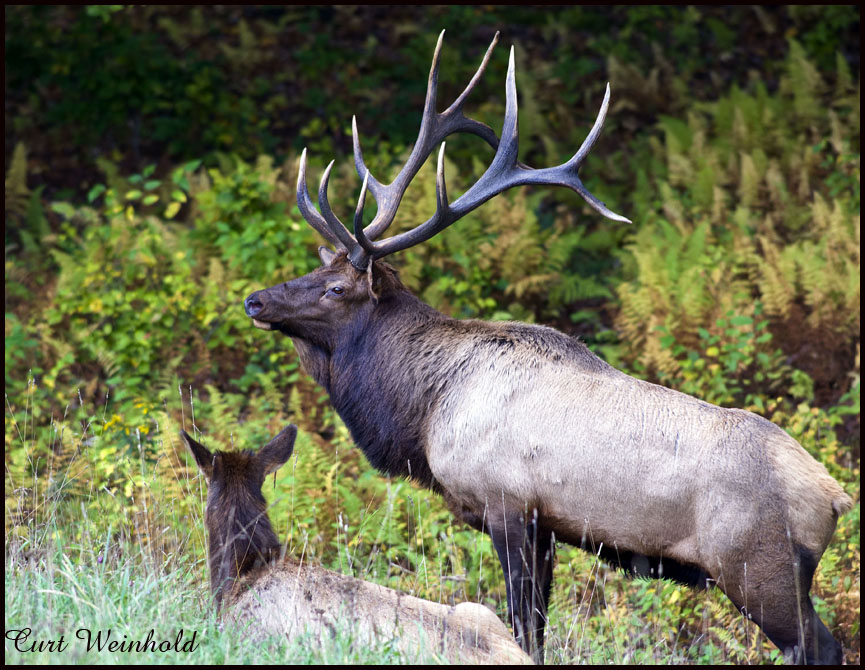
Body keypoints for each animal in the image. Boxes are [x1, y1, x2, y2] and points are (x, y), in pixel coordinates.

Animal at [241, 32, 852, 668]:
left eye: (336, 288)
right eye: (314, 269)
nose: (255, 300)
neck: (423, 413)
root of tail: (834, 497)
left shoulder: (510, 507)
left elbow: (524, 628)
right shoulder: (548, 528)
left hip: (759, 568)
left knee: (822, 646)